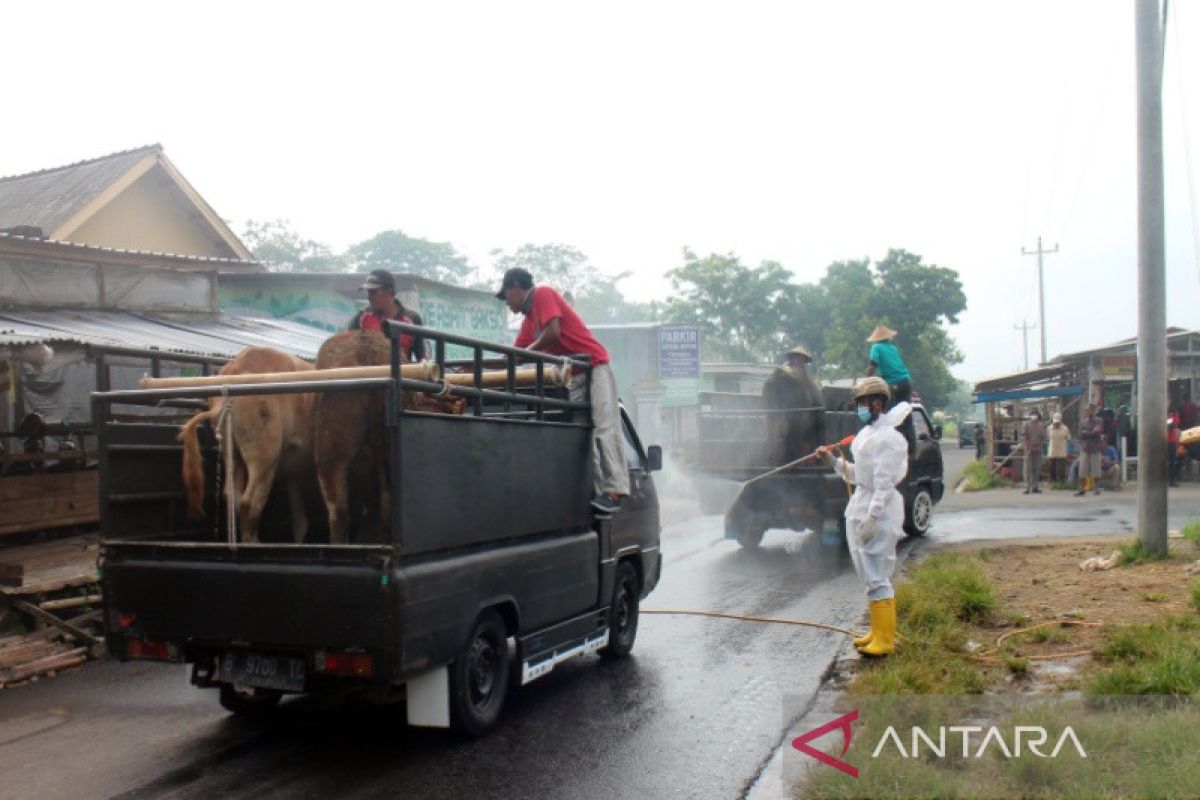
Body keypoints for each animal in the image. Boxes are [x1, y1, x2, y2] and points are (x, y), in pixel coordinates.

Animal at [177, 347, 316, 544]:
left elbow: (300, 522)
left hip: (232, 451)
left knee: (232, 496)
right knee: (251, 501)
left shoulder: (295, 473)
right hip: (265, 457)